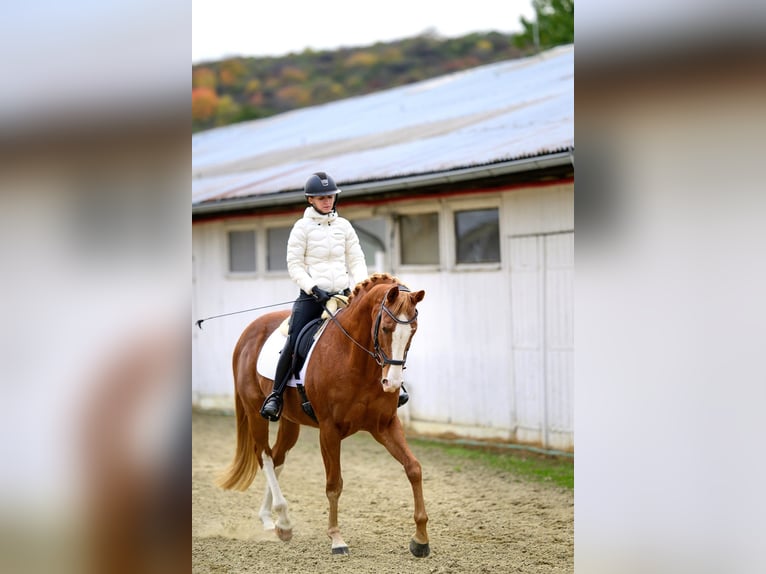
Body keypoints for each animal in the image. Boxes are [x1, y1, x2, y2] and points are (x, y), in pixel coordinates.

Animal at [216, 273, 430, 557]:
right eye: (385, 328)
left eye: (413, 331)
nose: (392, 383)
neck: (355, 360)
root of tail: (249, 331)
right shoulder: (329, 430)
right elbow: (334, 483)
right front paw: (337, 539)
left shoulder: (385, 425)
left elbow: (413, 468)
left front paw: (421, 539)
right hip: (255, 412)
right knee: (265, 457)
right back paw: (283, 520)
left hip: (290, 422)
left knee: (277, 457)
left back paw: (272, 521)